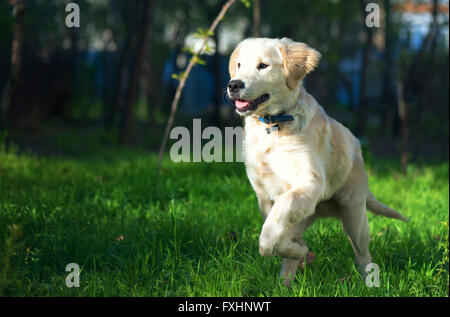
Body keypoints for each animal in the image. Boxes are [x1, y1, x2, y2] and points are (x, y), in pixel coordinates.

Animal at [227, 37, 406, 286]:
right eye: (239, 65)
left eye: (263, 66)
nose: (233, 84)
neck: (274, 125)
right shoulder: (264, 195)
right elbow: (276, 232)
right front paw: (298, 250)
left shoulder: (309, 183)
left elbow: (274, 224)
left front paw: (285, 247)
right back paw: (285, 282)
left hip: (354, 216)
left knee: (363, 254)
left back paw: (369, 282)